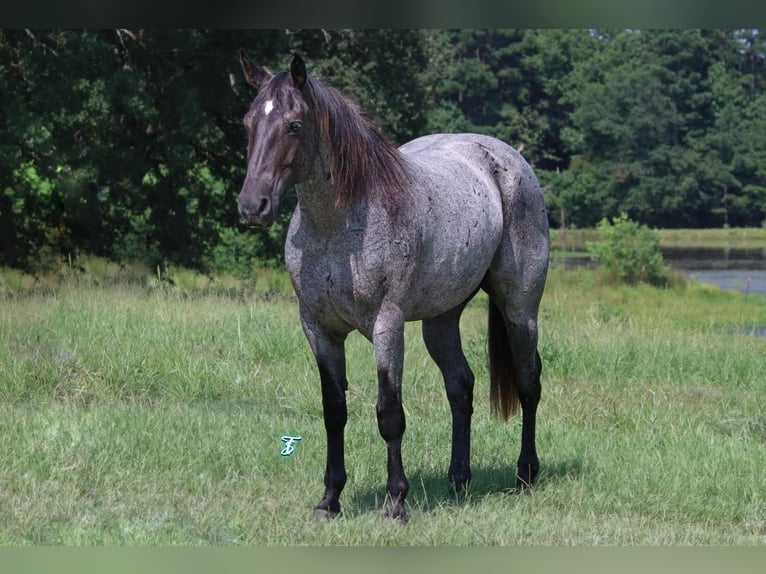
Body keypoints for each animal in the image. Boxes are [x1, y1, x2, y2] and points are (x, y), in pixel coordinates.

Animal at [237, 53, 548, 520]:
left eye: (293, 124)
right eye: (248, 122)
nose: (252, 206)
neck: (339, 227)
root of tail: (509, 161)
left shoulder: (387, 326)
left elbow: (389, 413)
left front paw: (396, 501)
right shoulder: (318, 328)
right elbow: (334, 411)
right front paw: (329, 500)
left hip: (520, 306)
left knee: (529, 382)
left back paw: (525, 475)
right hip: (441, 318)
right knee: (460, 385)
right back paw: (459, 480)